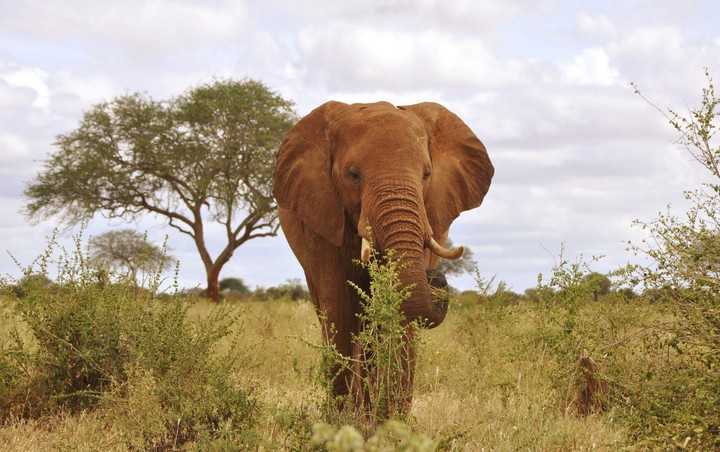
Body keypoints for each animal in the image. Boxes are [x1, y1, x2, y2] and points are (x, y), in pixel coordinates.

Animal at [272, 100, 493, 411]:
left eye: (426, 174)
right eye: (353, 175)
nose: (436, 277)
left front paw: (389, 418)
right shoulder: (320, 216)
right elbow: (340, 302)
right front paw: (344, 418)